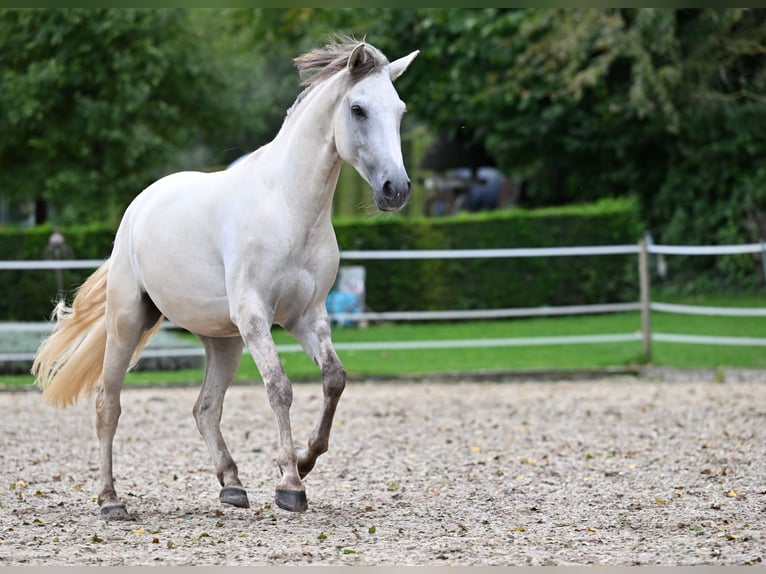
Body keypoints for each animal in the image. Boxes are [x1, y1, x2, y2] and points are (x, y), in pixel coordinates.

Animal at [33, 37, 420, 520]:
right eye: (358, 109)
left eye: (399, 110)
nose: (395, 190)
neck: (289, 208)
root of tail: (139, 205)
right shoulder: (256, 315)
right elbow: (279, 387)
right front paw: (290, 485)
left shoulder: (306, 316)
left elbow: (334, 378)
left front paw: (304, 461)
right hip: (128, 323)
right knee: (109, 403)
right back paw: (110, 500)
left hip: (223, 341)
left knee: (205, 408)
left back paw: (232, 485)